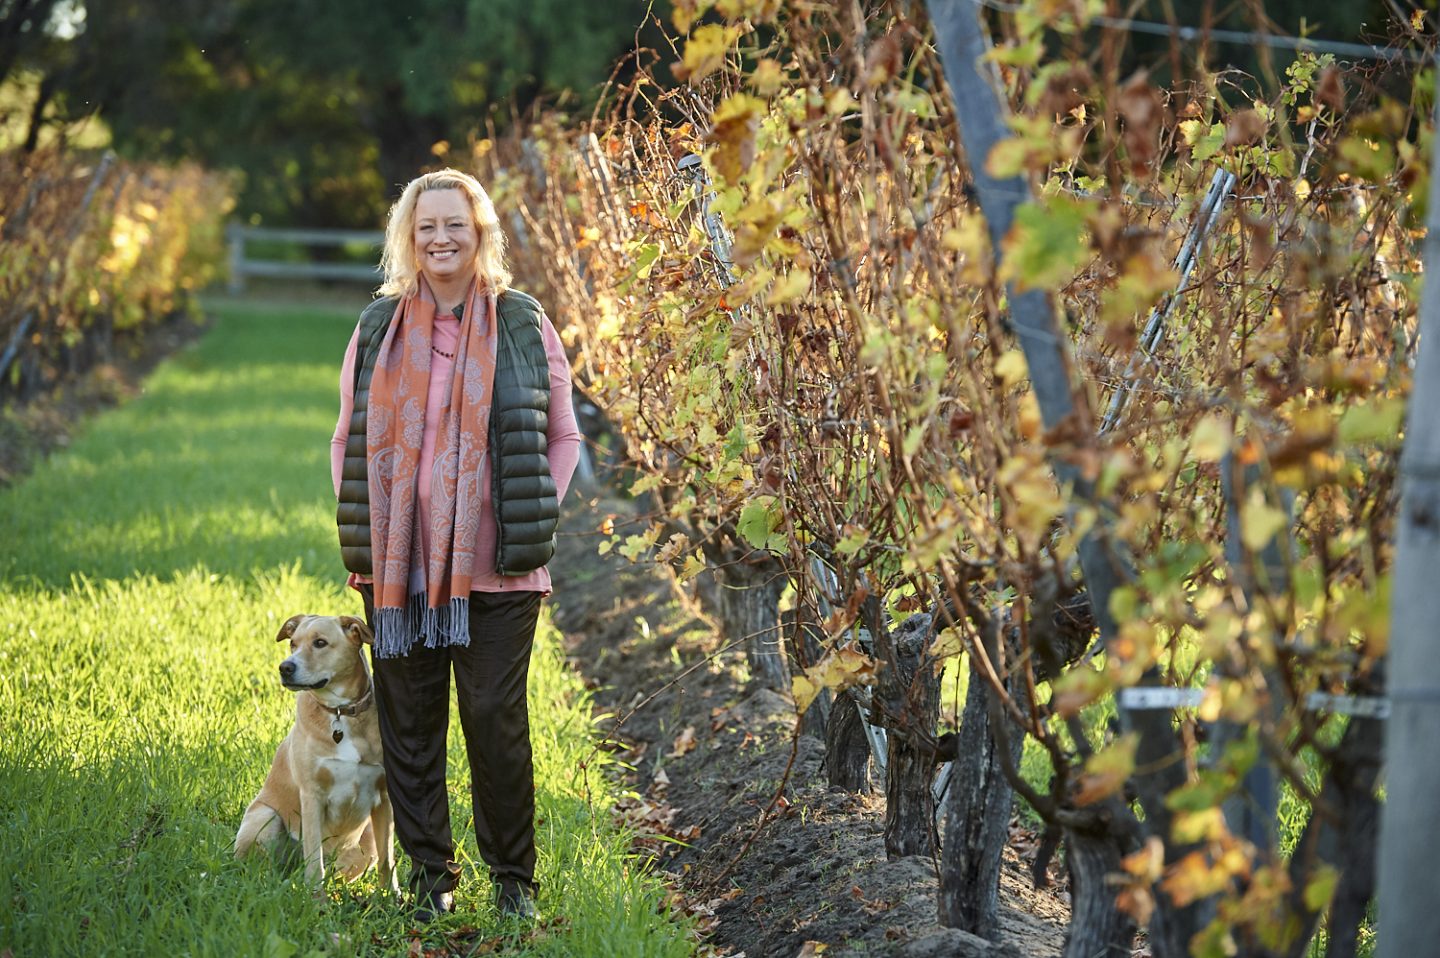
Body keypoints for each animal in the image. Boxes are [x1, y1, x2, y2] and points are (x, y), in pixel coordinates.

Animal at [234, 613, 397, 887]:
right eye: (293, 643)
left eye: (320, 642)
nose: (285, 667)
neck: (340, 713)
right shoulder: (312, 796)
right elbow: (313, 862)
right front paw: (315, 896)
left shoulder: (384, 797)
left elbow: (388, 861)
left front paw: (391, 897)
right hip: (265, 817)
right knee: (264, 866)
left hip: (367, 843)